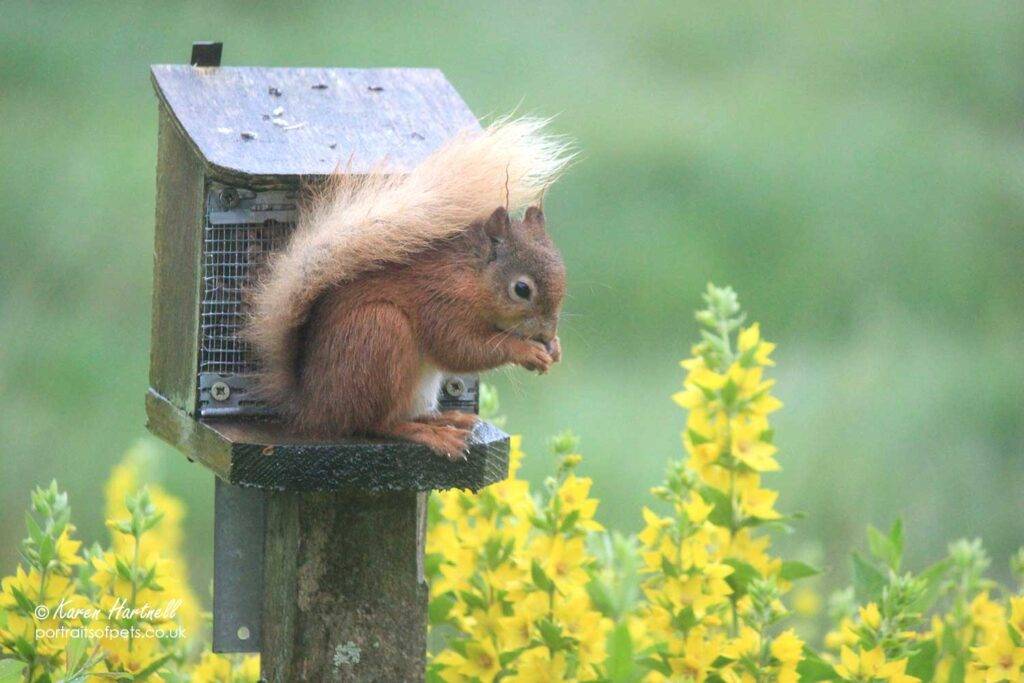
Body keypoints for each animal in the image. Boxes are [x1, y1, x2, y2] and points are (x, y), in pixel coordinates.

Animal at [244, 118, 573, 458]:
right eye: (521, 289)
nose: (547, 334)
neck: (472, 276)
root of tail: (313, 406)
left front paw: (555, 348)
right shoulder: (441, 301)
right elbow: (461, 349)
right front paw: (526, 351)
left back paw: (445, 419)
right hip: (379, 333)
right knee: (377, 424)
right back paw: (430, 434)